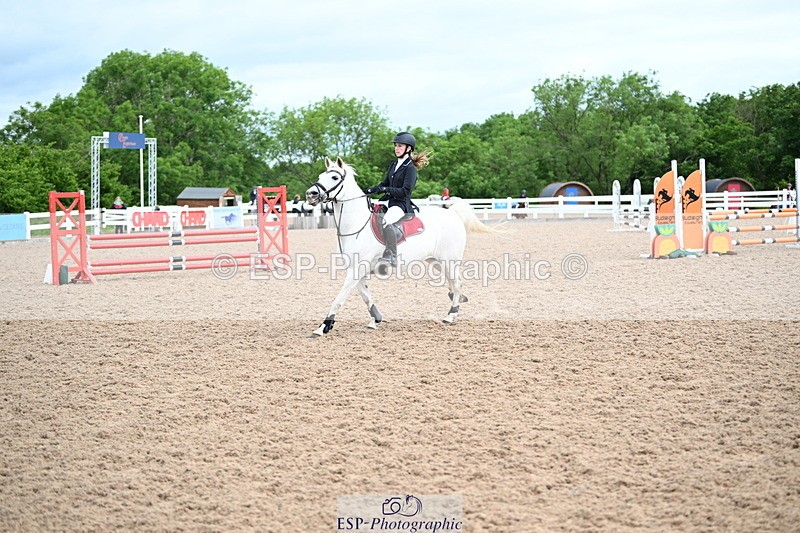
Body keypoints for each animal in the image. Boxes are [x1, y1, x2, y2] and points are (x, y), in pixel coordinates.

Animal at [305, 157, 495, 336]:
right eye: (320, 176)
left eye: (335, 177)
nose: (310, 194)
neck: (356, 223)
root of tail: (452, 213)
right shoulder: (356, 270)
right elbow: (365, 295)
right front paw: (376, 319)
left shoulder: (357, 269)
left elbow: (339, 298)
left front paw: (323, 326)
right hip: (436, 261)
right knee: (454, 283)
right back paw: (456, 302)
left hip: (449, 260)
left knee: (457, 283)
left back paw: (451, 315)